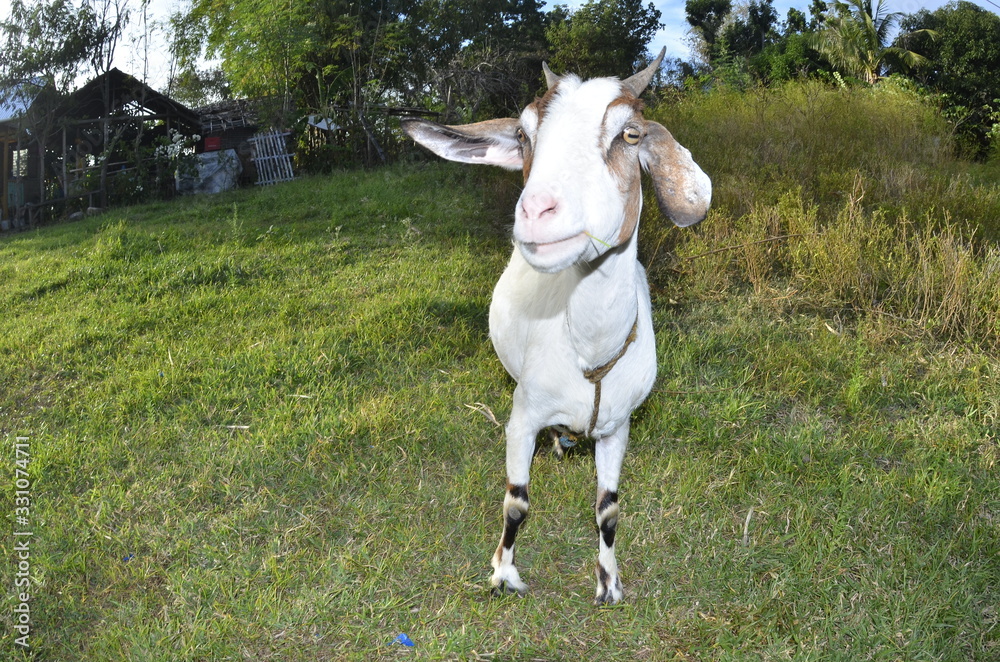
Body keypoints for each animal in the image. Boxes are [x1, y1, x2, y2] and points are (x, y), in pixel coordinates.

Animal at [402, 49, 711, 605]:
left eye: (630, 134)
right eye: (524, 136)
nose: (536, 210)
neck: (590, 355)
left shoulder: (618, 427)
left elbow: (608, 508)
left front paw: (609, 581)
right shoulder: (522, 416)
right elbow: (516, 502)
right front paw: (504, 572)